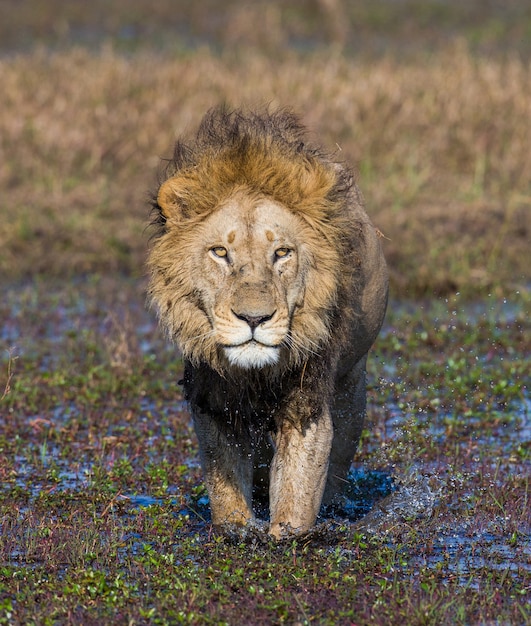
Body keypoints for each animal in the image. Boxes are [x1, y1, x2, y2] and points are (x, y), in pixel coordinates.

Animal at [148, 107, 388, 536]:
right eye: (220, 252)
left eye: (282, 253)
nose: (254, 318)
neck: (255, 374)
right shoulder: (213, 397)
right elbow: (225, 482)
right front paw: (237, 531)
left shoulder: (307, 398)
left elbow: (299, 484)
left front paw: (287, 535)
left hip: (351, 380)